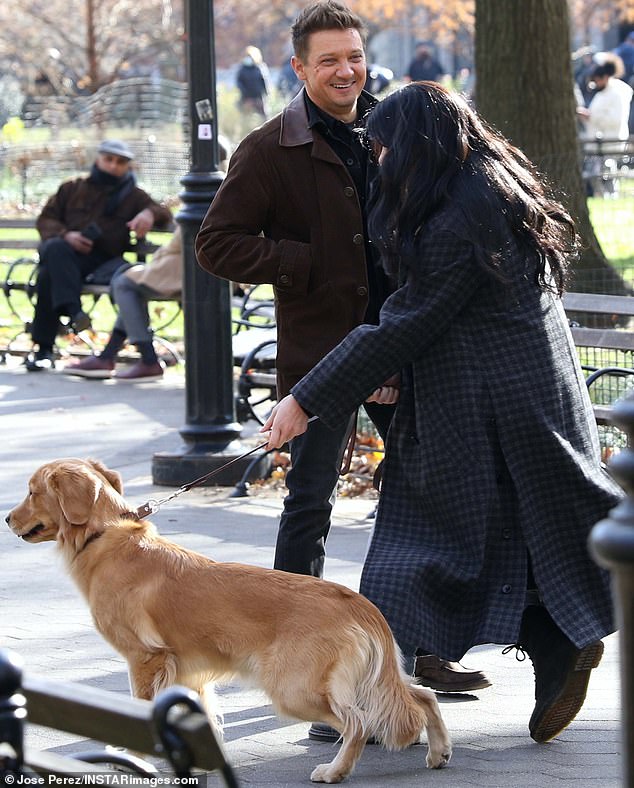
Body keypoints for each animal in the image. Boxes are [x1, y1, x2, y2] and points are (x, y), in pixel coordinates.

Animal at [4, 458, 450, 784]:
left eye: (31, 492)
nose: (7, 519)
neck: (106, 536)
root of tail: (357, 601)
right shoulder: (186, 670)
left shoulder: (144, 659)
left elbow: (141, 709)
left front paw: (131, 756)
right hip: (366, 680)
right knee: (421, 695)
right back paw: (439, 751)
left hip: (295, 687)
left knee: (359, 722)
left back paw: (335, 770)